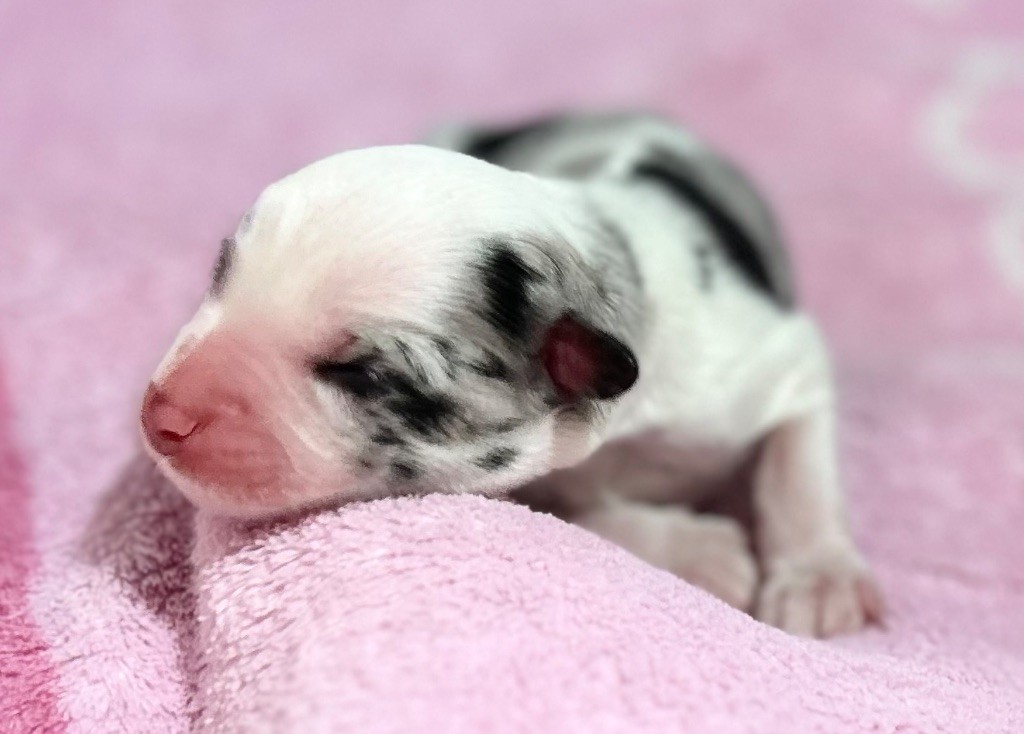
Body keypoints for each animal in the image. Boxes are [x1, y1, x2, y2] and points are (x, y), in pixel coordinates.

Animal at [140, 112, 883, 637]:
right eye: (221, 275)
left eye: (365, 377)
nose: (159, 416)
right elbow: (583, 512)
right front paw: (703, 552)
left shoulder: (764, 361)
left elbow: (797, 467)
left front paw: (820, 580)